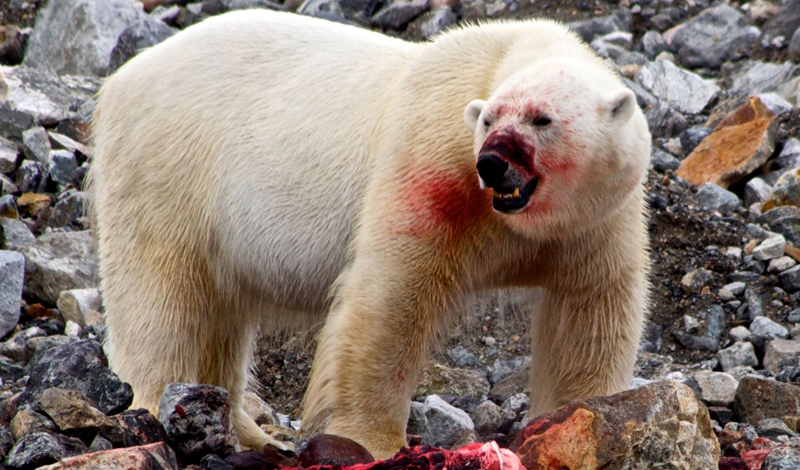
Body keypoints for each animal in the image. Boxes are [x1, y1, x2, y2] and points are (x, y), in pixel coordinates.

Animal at [89, 10, 648, 458]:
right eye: (488, 119)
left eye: (542, 118)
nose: (491, 163)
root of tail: (120, 79)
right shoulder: (431, 164)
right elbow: (392, 297)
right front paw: (371, 441)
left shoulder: (597, 220)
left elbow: (587, 315)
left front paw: (580, 419)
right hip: (169, 165)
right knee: (160, 298)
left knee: (221, 314)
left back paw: (248, 433)